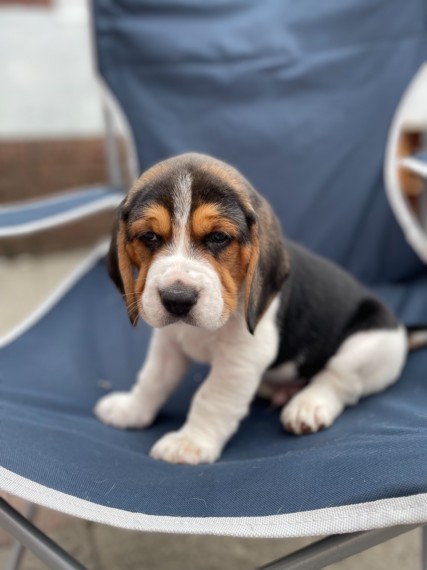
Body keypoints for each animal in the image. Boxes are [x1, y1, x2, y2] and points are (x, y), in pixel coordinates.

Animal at [94, 152, 427, 462]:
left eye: (218, 237)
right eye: (149, 236)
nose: (178, 298)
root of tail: (401, 329)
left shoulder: (241, 358)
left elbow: (211, 397)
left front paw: (189, 443)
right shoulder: (168, 343)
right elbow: (153, 379)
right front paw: (131, 410)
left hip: (367, 344)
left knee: (338, 381)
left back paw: (307, 406)